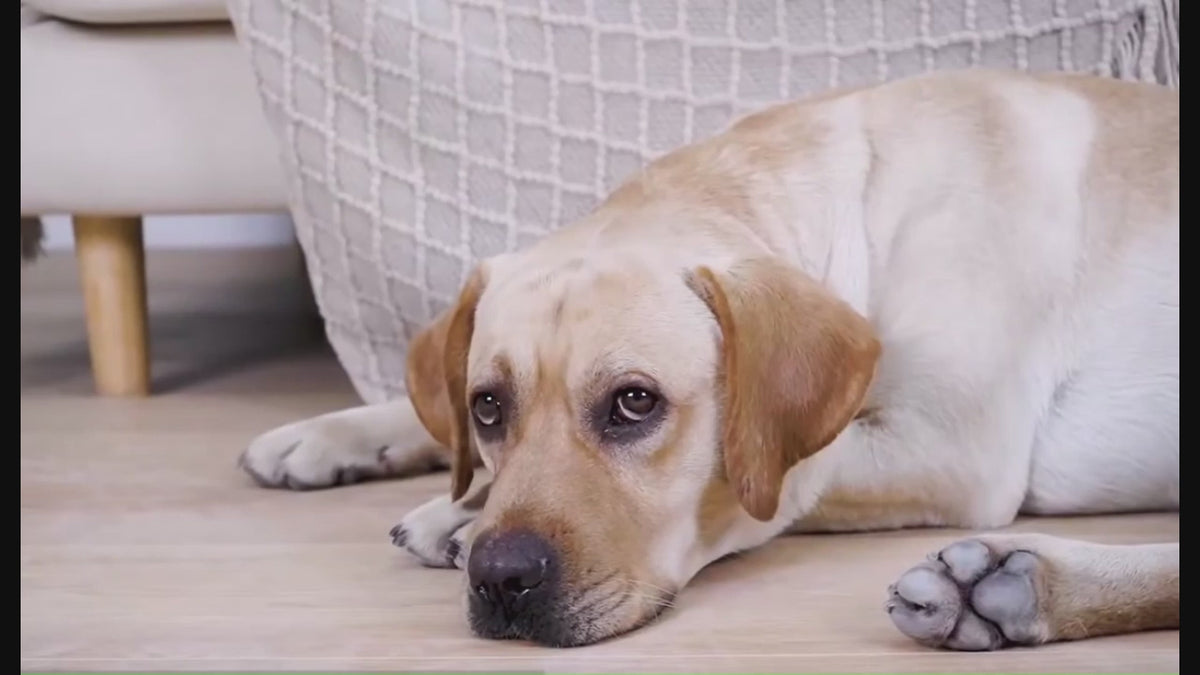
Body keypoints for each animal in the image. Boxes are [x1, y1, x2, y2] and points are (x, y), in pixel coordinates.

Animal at [238, 68, 1176, 648]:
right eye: (488, 406)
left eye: (635, 402)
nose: (500, 576)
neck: (856, 218)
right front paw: (338, 435)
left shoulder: (956, 449)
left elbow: (778, 479)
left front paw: (457, 515)